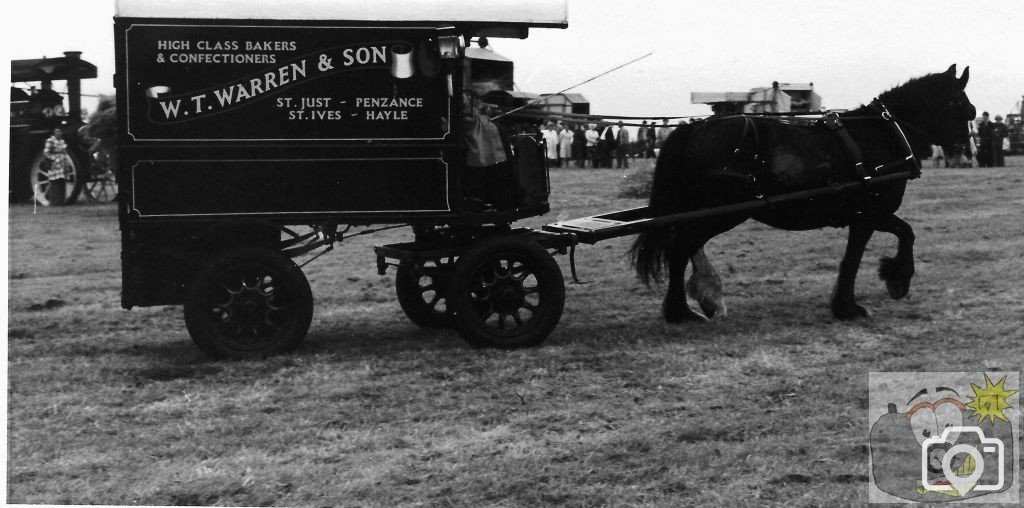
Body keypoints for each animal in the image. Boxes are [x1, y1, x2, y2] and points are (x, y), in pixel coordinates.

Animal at [630, 64, 974, 321]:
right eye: (964, 108)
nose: (965, 153)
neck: (882, 134)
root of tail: (694, 127)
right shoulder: (870, 213)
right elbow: (887, 242)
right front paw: (886, 285)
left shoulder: (864, 216)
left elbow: (870, 248)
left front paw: (853, 299)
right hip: (721, 212)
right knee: (680, 248)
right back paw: (681, 310)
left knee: (685, 246)